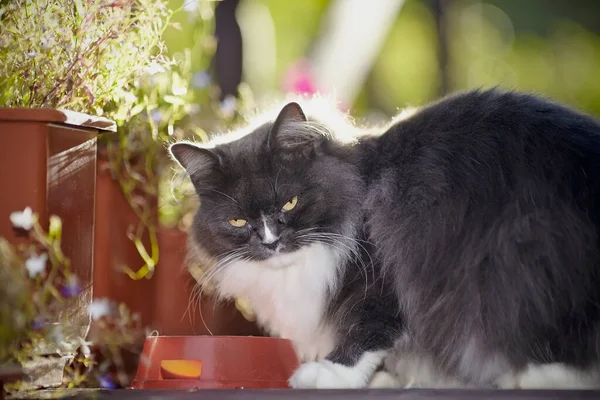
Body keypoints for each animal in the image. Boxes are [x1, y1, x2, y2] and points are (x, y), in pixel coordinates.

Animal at [170, 88, 600, 390]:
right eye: (238, 221)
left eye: (289, 202)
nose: (270, 241)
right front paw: (388, 378)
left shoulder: (380, 272)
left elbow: (369, 330)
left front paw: (330, 373)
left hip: (520, 255)